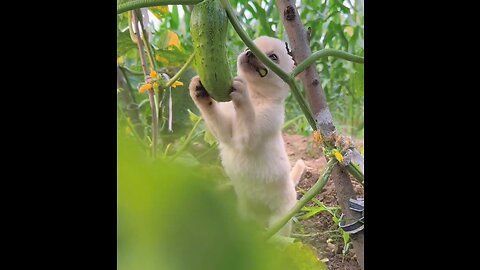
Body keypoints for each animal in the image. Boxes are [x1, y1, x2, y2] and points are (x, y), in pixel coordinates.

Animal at [188, 36, 304, 236]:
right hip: (246, 215)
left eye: (273, 57)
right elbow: (212, 113)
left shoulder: (249, 137)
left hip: (280, 218)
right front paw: (198, 90)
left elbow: (246, 113)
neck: (255, 96)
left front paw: (241, 93)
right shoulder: (226, 132)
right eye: (248, 47)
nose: (250, 53)